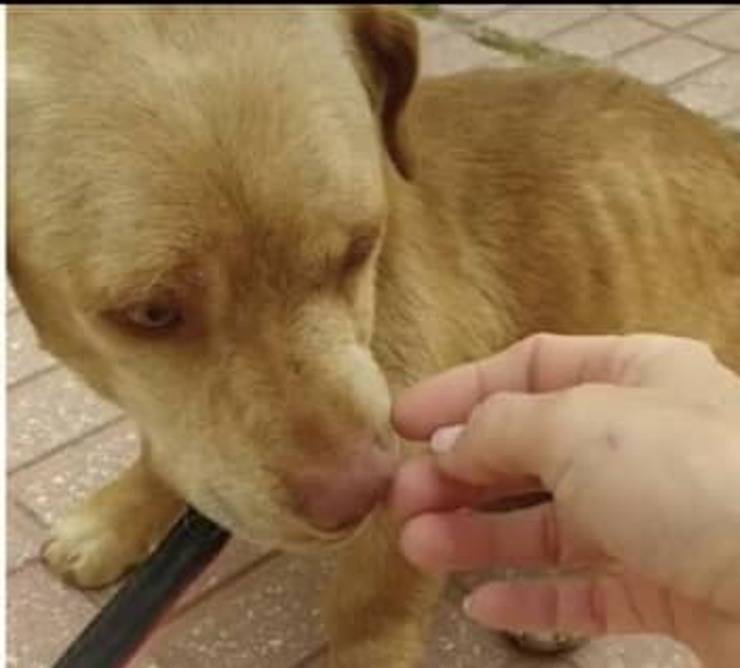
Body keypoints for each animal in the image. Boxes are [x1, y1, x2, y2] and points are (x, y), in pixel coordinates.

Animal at [8, 5, 740, 668]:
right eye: (151, 314)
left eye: (362, 245)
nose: (358, 493)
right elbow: (166, 450)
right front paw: (118, 515)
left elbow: (371, 604)